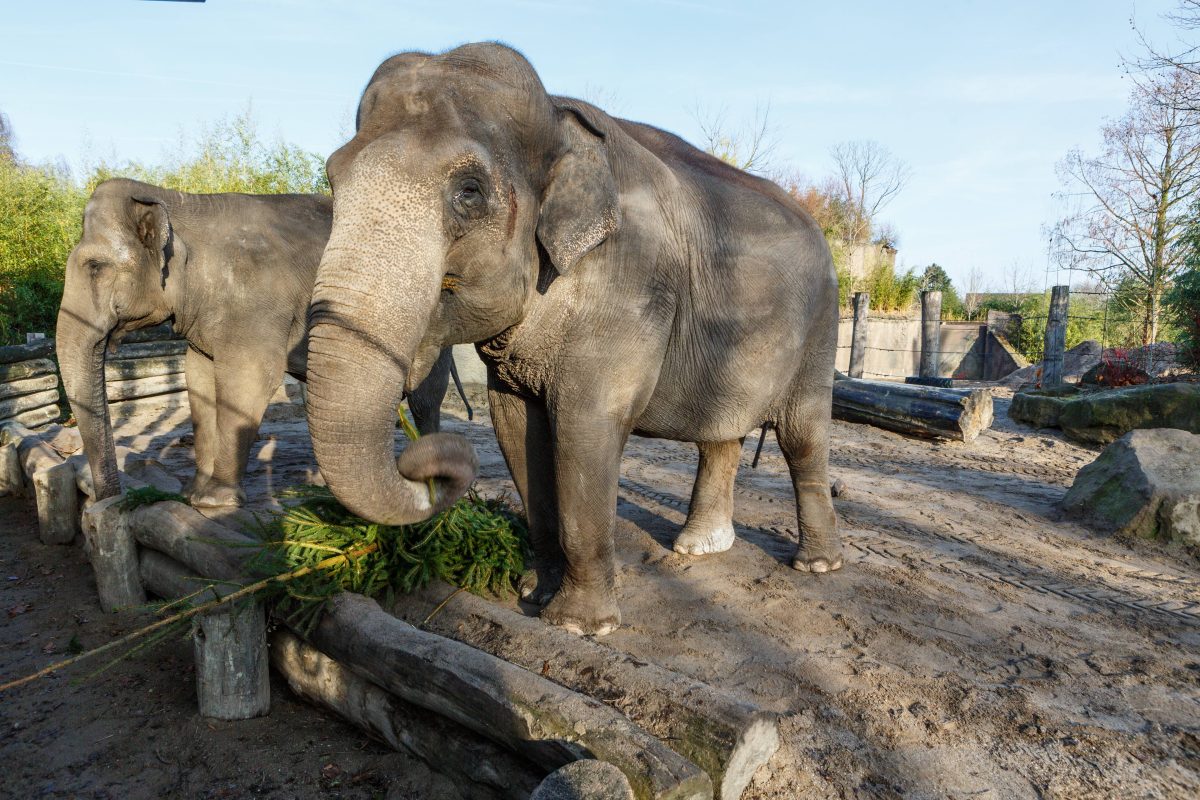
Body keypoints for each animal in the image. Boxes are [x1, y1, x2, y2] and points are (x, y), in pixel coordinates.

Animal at [55, 178, 453, 510]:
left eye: (95, 267)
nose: (110, 501)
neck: (177, 198)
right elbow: (198, 378)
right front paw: (192, 494)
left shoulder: (257, 301)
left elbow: (249, 377)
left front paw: (215, 502)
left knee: (424, 397)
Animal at [304, 43, 840, 633]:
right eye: (332, 178)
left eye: (469, 192)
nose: (425, 458)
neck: (557, 114)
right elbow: (516, 427)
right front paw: (533, 593)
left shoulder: (629, 284)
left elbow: (584, 426)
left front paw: (580, 625)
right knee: (719, 432)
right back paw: (698, 549)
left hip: (821, 326)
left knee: (802, 434)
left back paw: (816, 564)